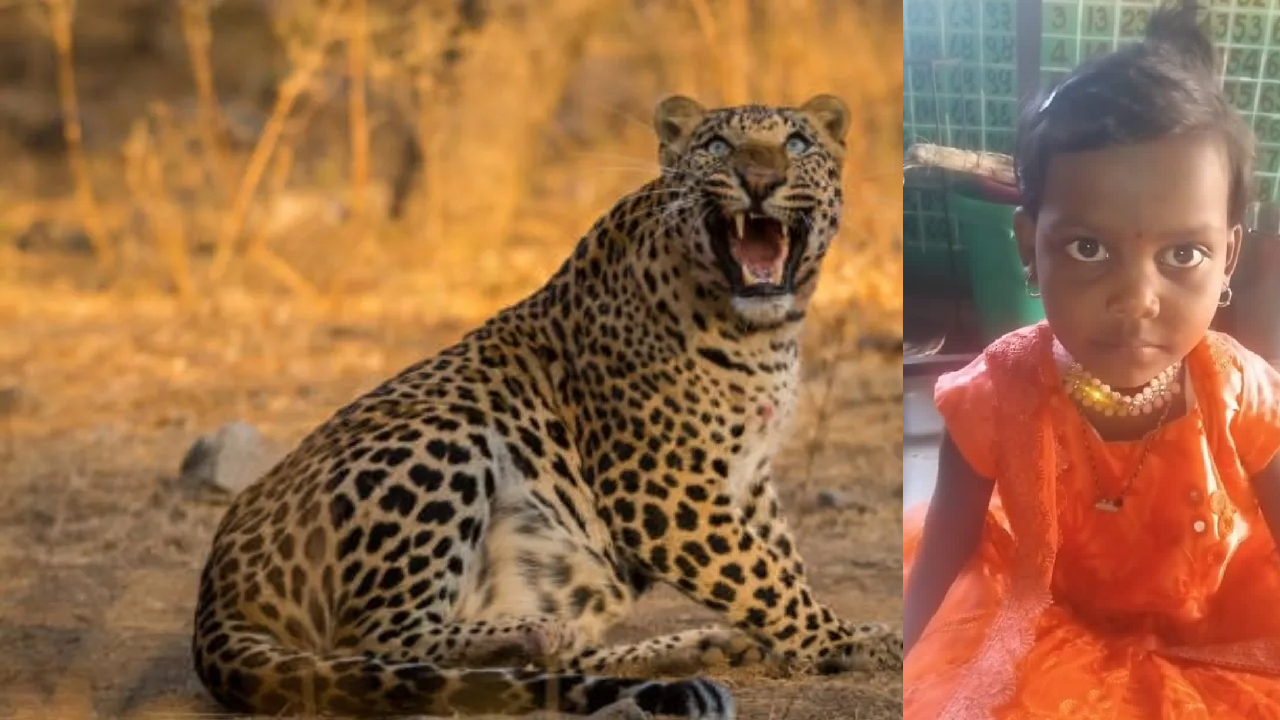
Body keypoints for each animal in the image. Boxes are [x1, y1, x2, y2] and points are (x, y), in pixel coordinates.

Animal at [191, 93, 903, 719]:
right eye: (718, 147)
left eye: (797, 144)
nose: (759, 178)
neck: (763, 333)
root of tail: (214, 592)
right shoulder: (660, 486)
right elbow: (758, 574)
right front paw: (848, 641)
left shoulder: (749, 476)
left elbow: (779, 560)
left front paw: (800, 643)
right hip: (445, 434)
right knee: (377, 645)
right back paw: (532, 635)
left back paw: (685, 648)